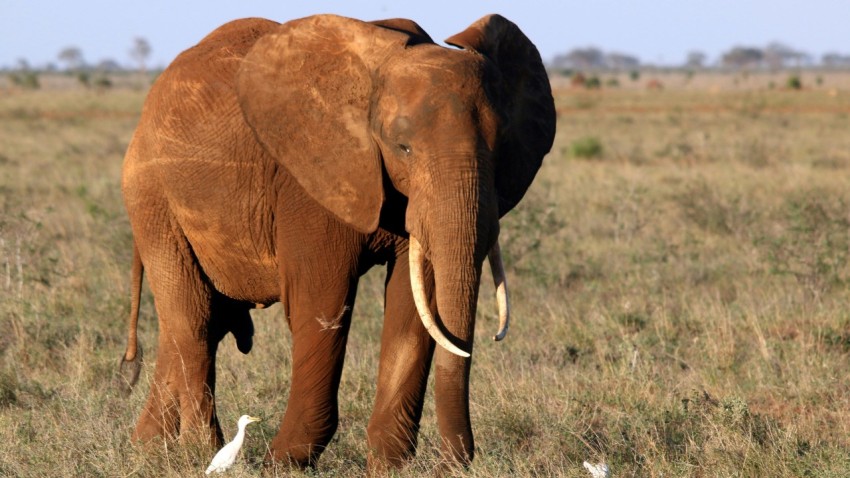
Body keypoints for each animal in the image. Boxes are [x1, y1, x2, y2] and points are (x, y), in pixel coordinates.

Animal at [117, 13, 556, 472]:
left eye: (500, 147)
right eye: (403, 147)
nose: (450, 464)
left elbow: (414, 308)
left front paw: (389, 467)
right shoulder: (308, 180)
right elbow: (321, 304)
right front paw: (283, 463)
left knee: (198, 322)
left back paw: (149, 449)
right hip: (151, 198)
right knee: (193, 319)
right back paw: (201, 452)